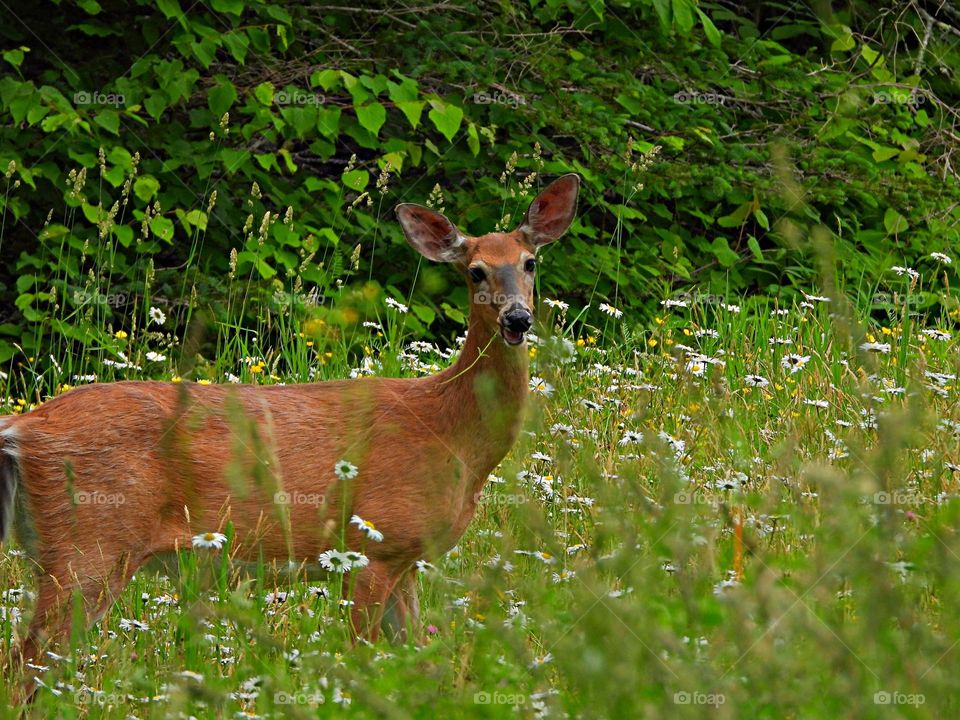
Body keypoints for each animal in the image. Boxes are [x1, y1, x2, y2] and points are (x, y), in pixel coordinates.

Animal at [0, 173, 580, 674]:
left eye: (530, 262)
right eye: (476, 270)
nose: (517, 319)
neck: (452, 433)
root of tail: (23, 429)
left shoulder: (406, 559)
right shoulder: (369, 546)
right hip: (91, 543)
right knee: (27, 662)